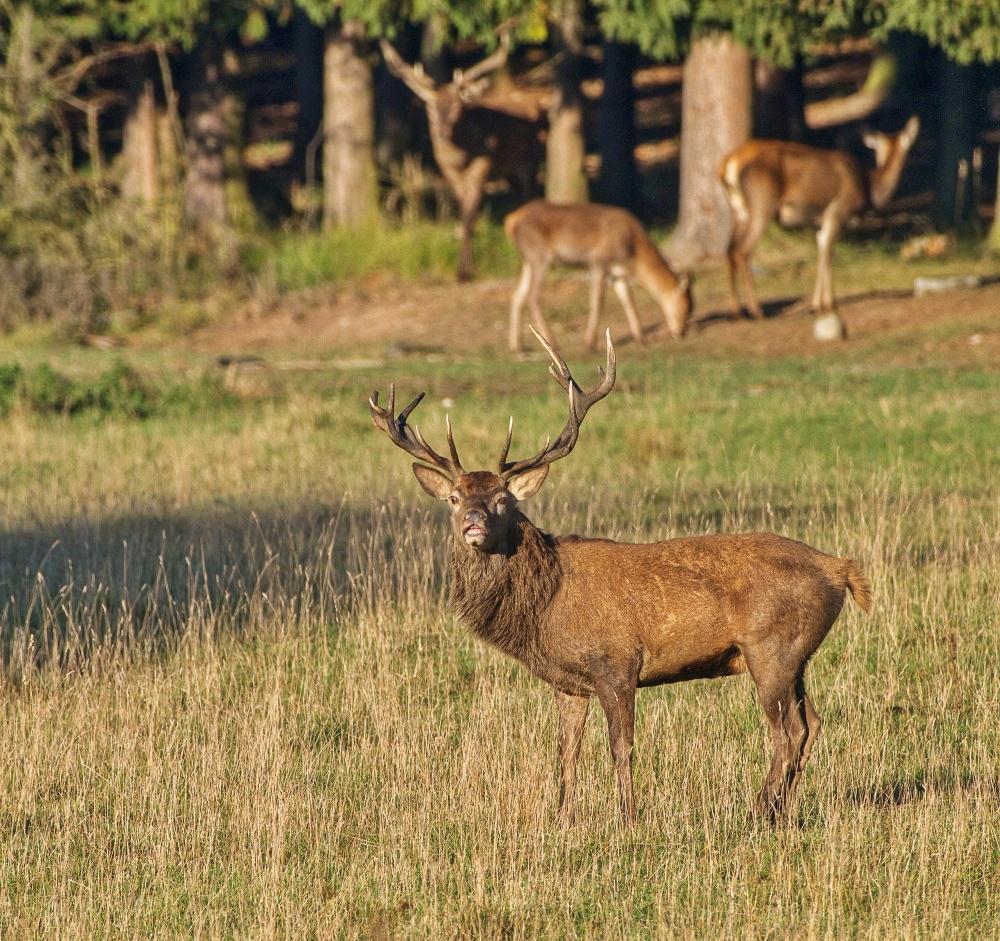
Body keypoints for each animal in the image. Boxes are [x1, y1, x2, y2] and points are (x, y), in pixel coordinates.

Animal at [372, 328, 872, 824]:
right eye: (454, 498)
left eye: (503, 499)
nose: (473, 522)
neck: (548, 603)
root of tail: (839, 568)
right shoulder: (569, 682)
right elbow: (566, 752)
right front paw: (562, 818)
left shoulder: (617, 662)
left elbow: (621, 745)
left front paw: (629, 816)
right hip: (797, 655)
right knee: (811, 725)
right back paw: (780, 812)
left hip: (771, 646)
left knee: (786, 730)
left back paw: (759, 809)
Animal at [504, 200, 692, 354]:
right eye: (684, 308)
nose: (682, 332)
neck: (633, 255)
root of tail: (511, 221)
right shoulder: (599, 262)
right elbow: (598, 301)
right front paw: (590, 343)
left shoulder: (617, 275)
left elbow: (628, 301)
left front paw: (641, 338)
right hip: (540, 256)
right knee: (532, 296)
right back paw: (552, 342)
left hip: (528, 260)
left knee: (517, 296)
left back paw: (516, 345)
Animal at [720, 116, 920, 324]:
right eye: (908, 146)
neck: (868, 189)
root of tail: (729, 164)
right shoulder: (837, 212)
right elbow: (829, 255)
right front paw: (827, 304)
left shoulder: (819, 222)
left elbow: (822, 252)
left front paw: (818, 304)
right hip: (762, 205)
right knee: (743, 252)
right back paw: (757, 311)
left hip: (738, 210)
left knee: (730, 250)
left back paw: (737, 312)